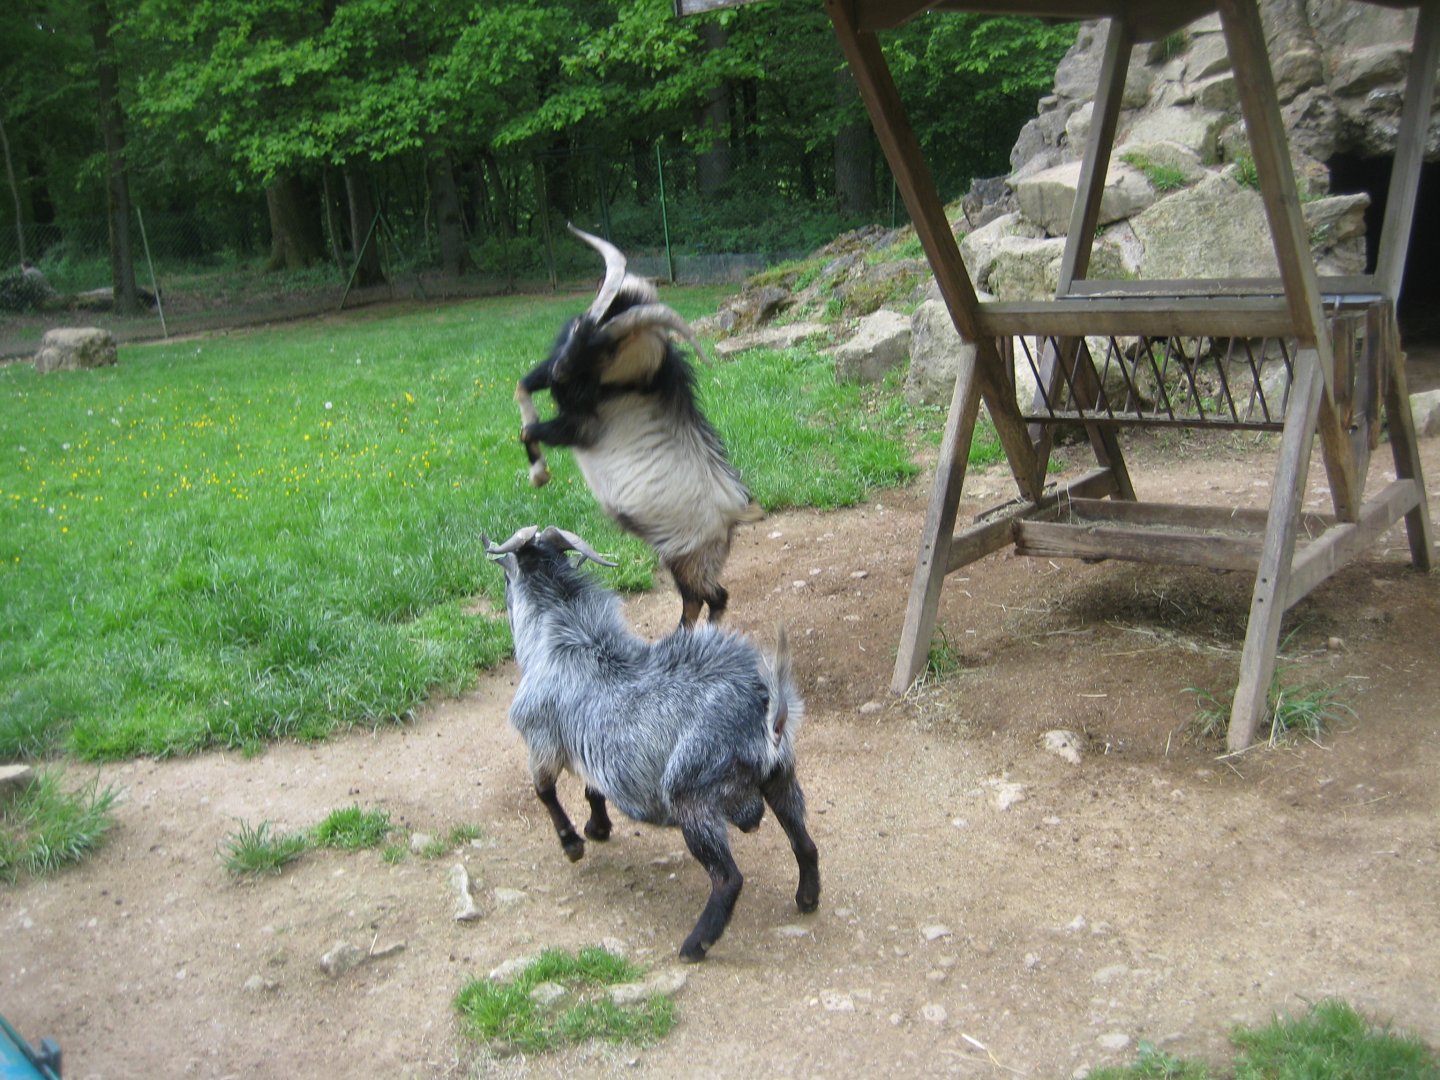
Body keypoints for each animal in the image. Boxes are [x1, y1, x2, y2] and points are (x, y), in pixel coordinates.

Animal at [484, 524, 820, 962]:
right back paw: (807, 899)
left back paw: (695, 945)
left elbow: (544, 792)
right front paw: (597, 828)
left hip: (692, 797)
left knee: (728, 878)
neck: (565, 637)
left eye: (507, 577)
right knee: (804, 842)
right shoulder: (596, 749)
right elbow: (593, 789)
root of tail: (769, 714)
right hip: (781, 777)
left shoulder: (541, 742)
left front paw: (573, 843)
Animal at [514, 225, 762, 627]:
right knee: (705, 598)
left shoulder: (581, 427)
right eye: (581, 325)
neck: (640, 379)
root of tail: (734, 515)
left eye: (606, 348)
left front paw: (539, 474)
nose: (560, 370)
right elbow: (522, 387)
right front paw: (538, 471)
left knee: (709, 597)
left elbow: (531, 431)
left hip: (686, 556)